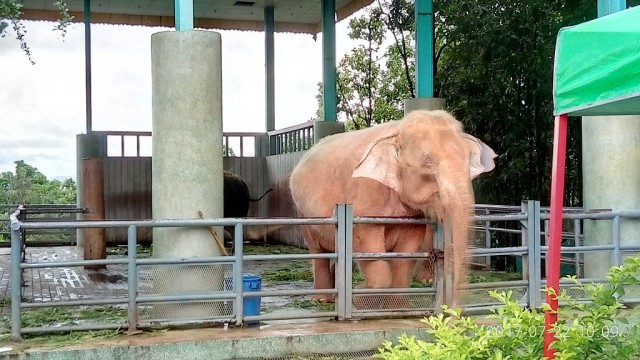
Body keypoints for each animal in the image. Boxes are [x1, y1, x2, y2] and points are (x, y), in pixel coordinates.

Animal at [288, 109, 496, 306]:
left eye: (469, 160)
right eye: (428, 162)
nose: (450, 308)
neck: (397, 130)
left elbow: (407, 254)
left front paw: (399, 307)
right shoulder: (366, 194)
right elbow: (367, 245)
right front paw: (360, 299)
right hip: (303, 215)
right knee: (318, 251)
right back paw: (323, 300)